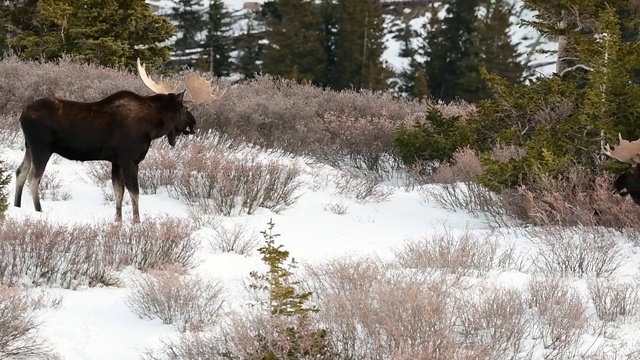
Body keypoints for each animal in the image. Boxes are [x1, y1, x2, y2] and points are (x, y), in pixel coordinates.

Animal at [12, 58, 229, 222]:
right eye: (184, 109)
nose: (193, 124)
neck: (151, 128)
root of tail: (22, 114)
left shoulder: (115, 162)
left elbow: (119, 192)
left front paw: (118, 221)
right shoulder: (129, 160)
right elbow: (135, 193)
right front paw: (137, 222)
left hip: (29, 146)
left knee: (20, 172)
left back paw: (17, 207)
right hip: (42, 147)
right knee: (33, 178)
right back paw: (38, 211)